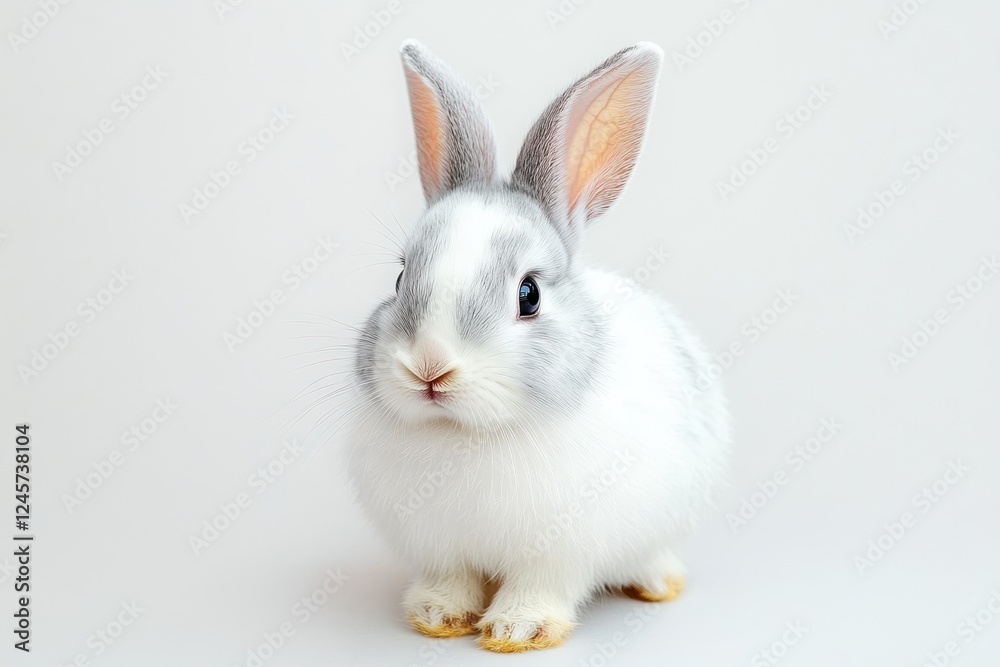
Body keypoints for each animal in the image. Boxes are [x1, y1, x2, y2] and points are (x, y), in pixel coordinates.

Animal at [343, 39, 730, 653]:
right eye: (401, 279)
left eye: (529, 295)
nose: (430, 368)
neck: (466, 435)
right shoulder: (442, 549)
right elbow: (451, 580)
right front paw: (436, 617)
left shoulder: (558, 553)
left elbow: (540, 588)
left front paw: (516, 630)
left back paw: (656, 584)